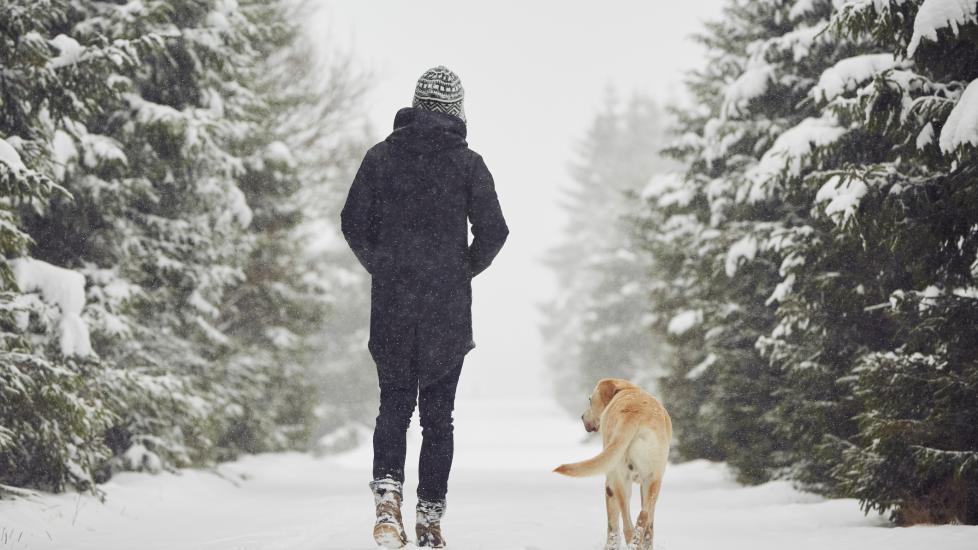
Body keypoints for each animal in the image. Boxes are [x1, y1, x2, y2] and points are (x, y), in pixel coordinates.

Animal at [556, 382, 672, 550]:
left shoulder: (610, 486)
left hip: (618, 482)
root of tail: (634, 414)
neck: (626, 390)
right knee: (643, 517)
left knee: (627, 525)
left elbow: (612, 525)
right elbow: (649, 525)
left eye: (590, 400)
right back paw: (638, 543)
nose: (582, 417)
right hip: (652, 480)